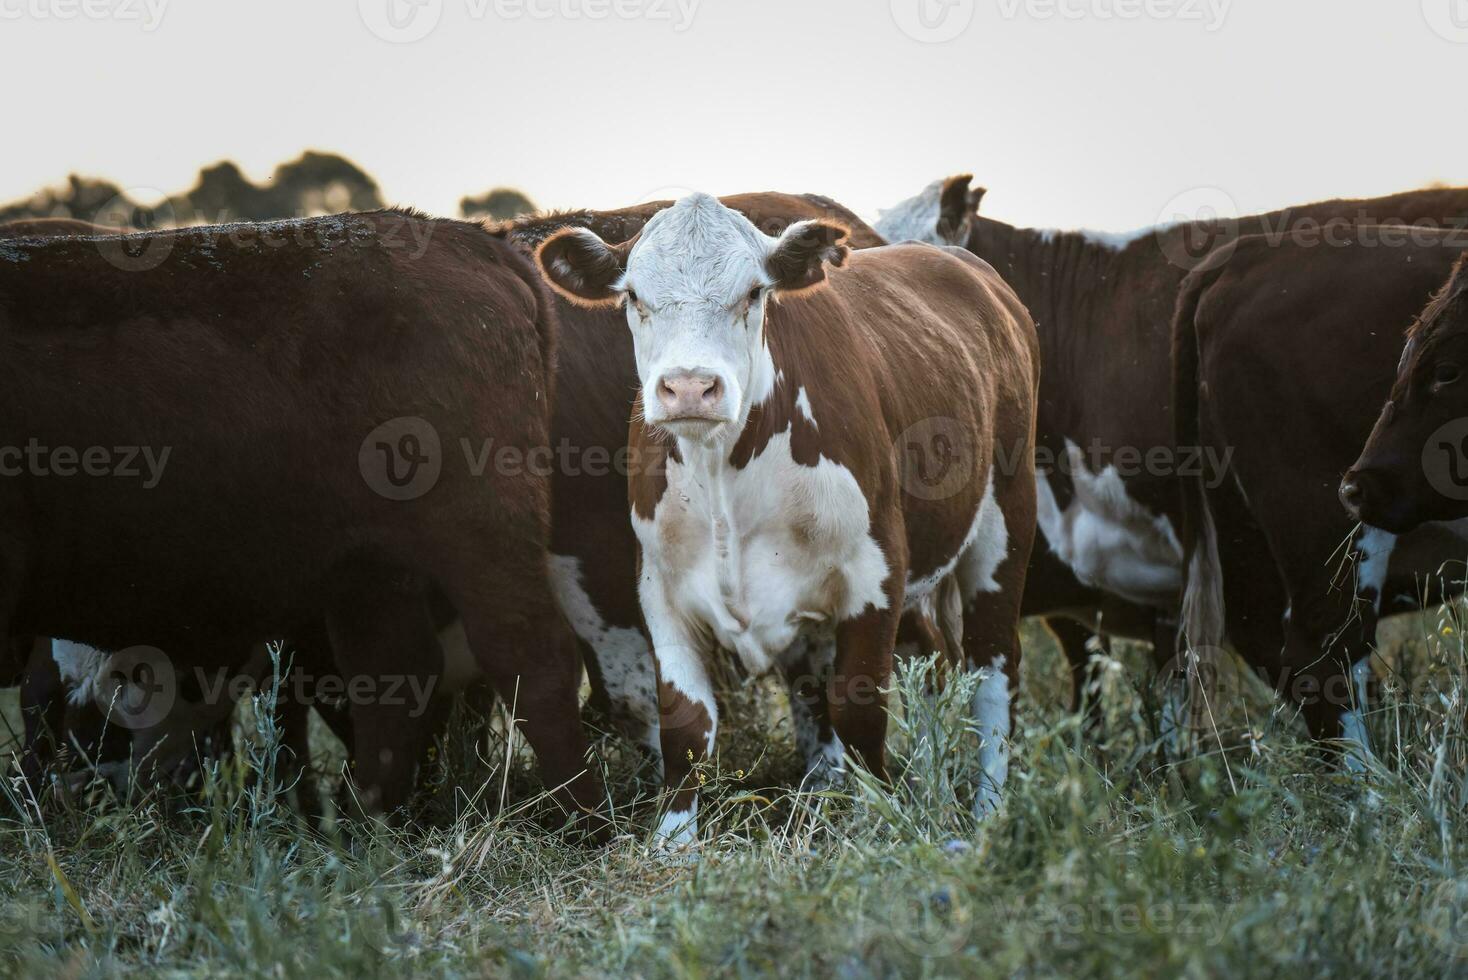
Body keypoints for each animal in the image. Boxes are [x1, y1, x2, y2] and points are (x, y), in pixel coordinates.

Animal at [0, 211, 601, 821]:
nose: (80, 787)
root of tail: (478, 240)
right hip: (370, 566)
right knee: (394, 676)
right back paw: (367, 823)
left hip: (477, 535)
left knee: (532, 658)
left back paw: (581, 820)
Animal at [534, 190, 1039, 845]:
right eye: (634, 297)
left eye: (754, 292)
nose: (691, 387)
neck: (723, 478)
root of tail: (964, 265)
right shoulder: (660, 586)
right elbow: (685, 722)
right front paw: (673, 842)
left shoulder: (875, 574)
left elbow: (857, 707)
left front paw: (880, 819)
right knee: (932, 659)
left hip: (1007, 521)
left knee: (993, 670)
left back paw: (988, 810)